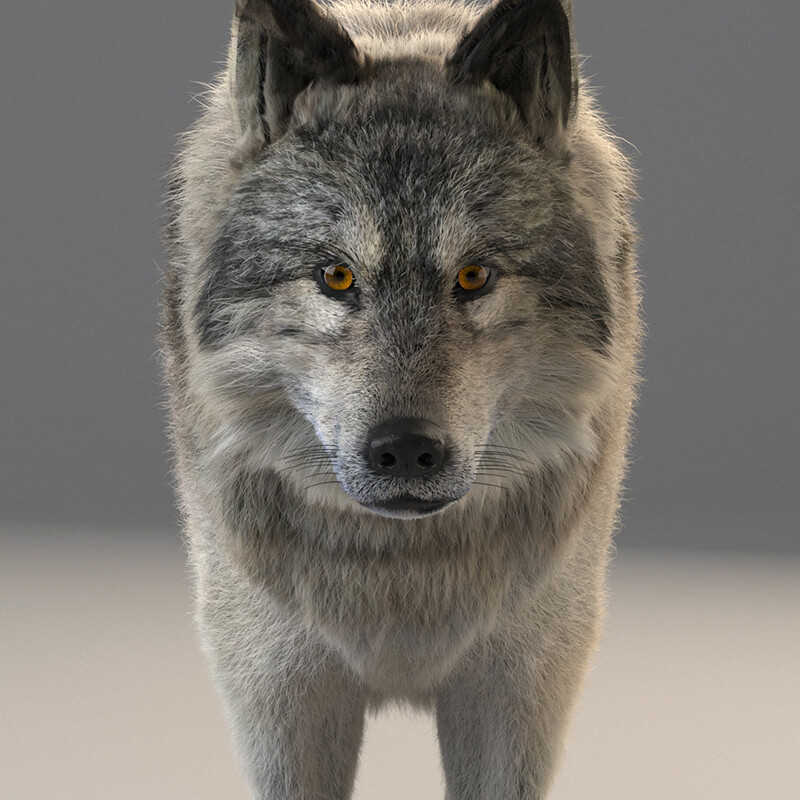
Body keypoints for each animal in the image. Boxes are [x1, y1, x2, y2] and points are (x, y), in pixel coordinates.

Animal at [161, 0, 641, 797]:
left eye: (474, 276)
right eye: (337, 276)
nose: (406, 449)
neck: (401, 577)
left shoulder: (518, 689)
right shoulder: (280, 692)